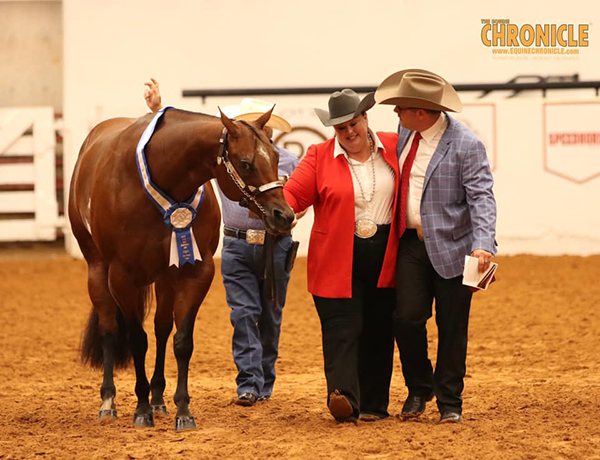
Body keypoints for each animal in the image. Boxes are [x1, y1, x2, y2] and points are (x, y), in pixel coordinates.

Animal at [69, 107, 294, 432]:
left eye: (276, 157)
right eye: (246, 163)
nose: (284, 215)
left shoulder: (196, 273)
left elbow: (182, 341)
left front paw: (182, 410)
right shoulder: (122, 277)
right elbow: (137, 340)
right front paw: (141, 410)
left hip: (165, 278)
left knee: (162, 329)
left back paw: (158, 399)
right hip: (97, 268)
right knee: (109, 329)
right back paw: (109, 402)